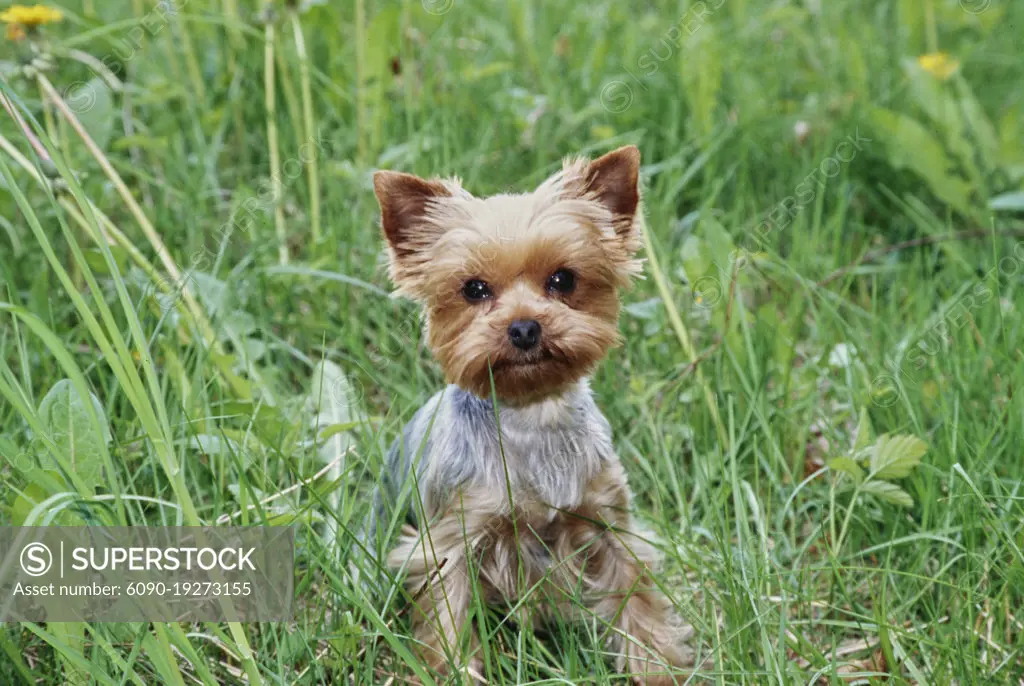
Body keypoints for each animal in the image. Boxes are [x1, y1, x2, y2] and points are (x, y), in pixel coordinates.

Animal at [370, 145, 696, 683]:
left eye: (563, 279)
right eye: (474, 289)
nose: (524, 328)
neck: (531, 416)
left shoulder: (607, 520)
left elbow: (638, 600)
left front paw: (656, 669)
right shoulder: (452, 541)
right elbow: (448, 621)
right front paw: (457, 671)